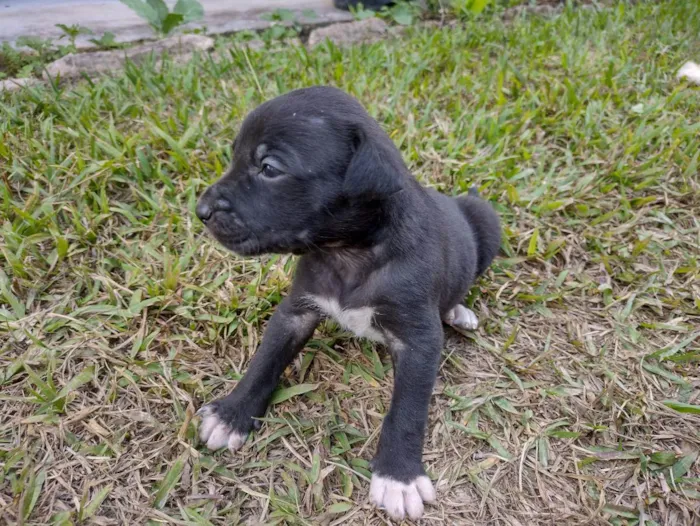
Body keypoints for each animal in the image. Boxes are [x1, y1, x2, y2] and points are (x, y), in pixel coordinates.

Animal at [194, 86, 500, 524]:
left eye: (268, 168)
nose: (200, 211)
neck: (349, 253)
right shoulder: (296, 311)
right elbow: (264, 361)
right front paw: (232, 414)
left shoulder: (419, 340)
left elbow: (408, 409)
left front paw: (399, 477)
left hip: (487, 223)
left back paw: (459, 310)